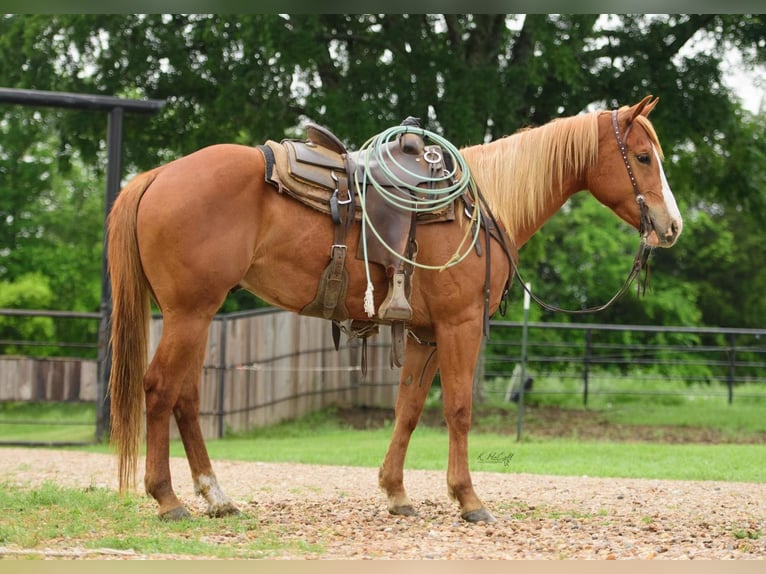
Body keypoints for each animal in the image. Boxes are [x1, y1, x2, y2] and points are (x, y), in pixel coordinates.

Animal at [106, 95, 684, 528]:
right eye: (642, 157)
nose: (672, 225)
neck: (481, 208)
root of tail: (157, 175)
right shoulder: (459, 325)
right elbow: (458, 409)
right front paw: (469, 500)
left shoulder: (424, 333)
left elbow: (408, 408)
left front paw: (396, 493)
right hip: (190, 312)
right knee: (160, 388)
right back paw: (168, 499)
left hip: (197, 314)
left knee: (185, 397)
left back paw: (216, 495)